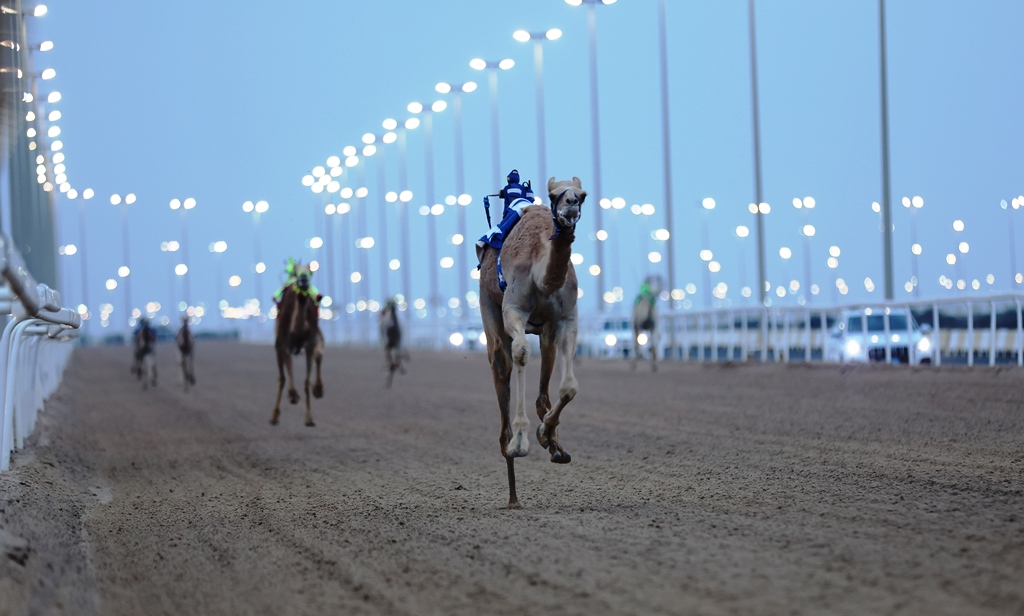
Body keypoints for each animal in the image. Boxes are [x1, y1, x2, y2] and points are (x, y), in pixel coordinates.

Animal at [272, 259, 323, 427]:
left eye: (311, 271)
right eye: (295, 271)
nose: (303, 279)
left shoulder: (311, 343)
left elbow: (307, 381)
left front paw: (309, 418)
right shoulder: (283, 344)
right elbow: (285, 376)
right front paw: (293, 396)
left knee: (319, 356)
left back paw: (318, 390)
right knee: (281, 377)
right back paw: (274, 415)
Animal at [477, 173, 585, 507]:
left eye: (583, 195)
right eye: (552, 195)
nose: (570, 206)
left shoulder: (566, 319)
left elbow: (569, 386)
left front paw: (546, 437)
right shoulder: (513, 309)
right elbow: (521, 352)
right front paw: (522, 440)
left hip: (547, 332)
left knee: (542, 393)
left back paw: (553, 446)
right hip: (488, 304)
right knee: (502, 361)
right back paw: (511, 477)